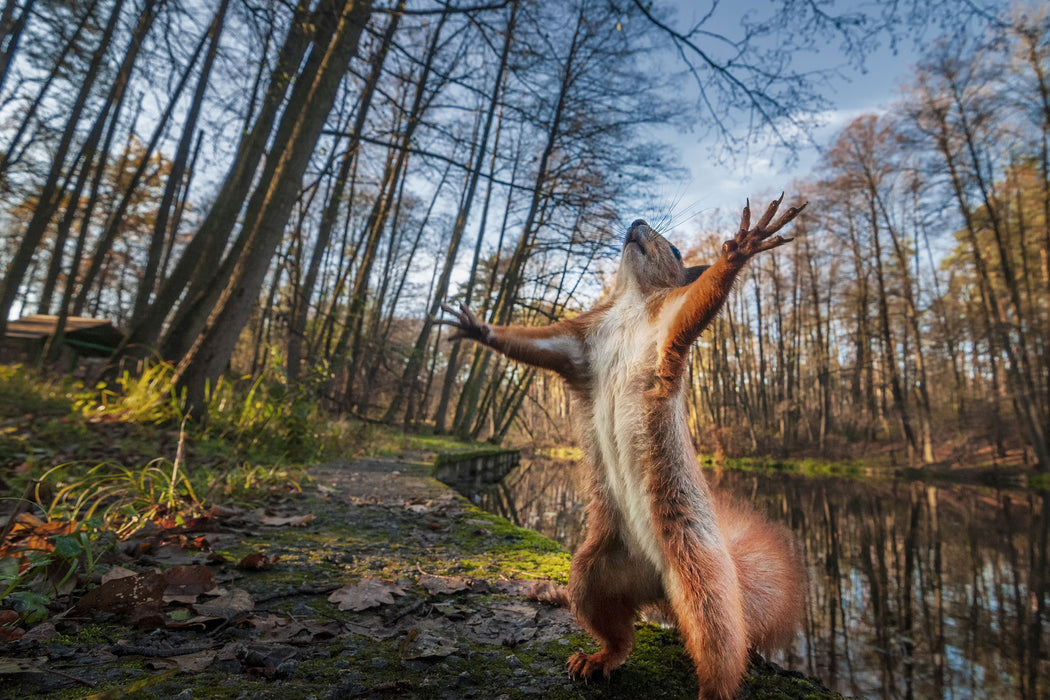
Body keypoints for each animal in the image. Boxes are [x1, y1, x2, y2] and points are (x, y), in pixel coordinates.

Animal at [438, 197, 806, 700]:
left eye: (674, 248)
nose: (636, 222)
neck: (631, 302)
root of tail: (658, 586)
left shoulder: (669, 323)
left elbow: (702, 300)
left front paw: (740, 248)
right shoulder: (579, 345)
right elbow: (532, 345)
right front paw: (479, 329)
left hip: (702, 579)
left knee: (719, 647)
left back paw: (711, 687)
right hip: (594, 572)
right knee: (619, 633)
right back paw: (598, 659)